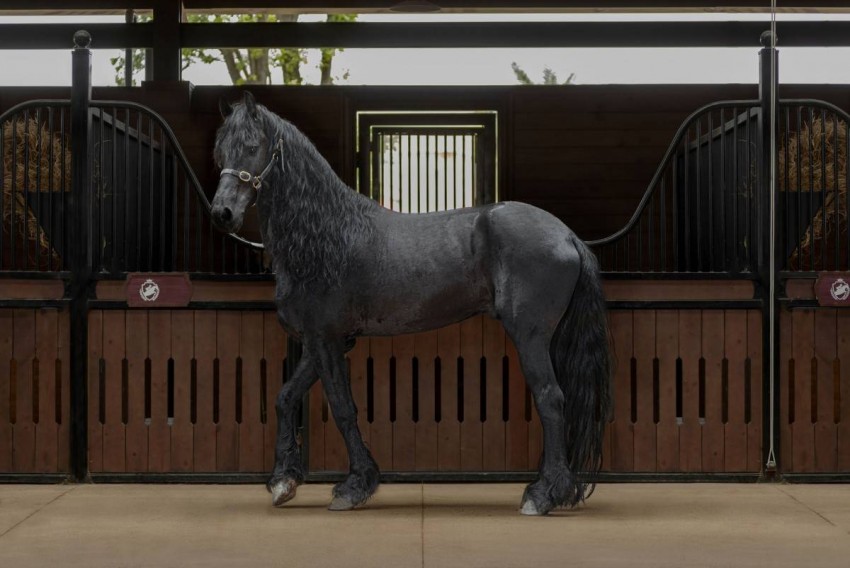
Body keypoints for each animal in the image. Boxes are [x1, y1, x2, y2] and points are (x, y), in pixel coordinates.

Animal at [211, 91, 612, 516]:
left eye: (252, 147)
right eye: (221, 151)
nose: (222, 214)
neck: (328, 238)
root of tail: (567, 235)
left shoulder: (326, 339)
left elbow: (342, 407)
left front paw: (353, 487)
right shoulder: (324, 341)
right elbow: (285, 397)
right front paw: (283, 481)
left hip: (531, 335)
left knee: (550, 399)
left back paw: (542, 494)